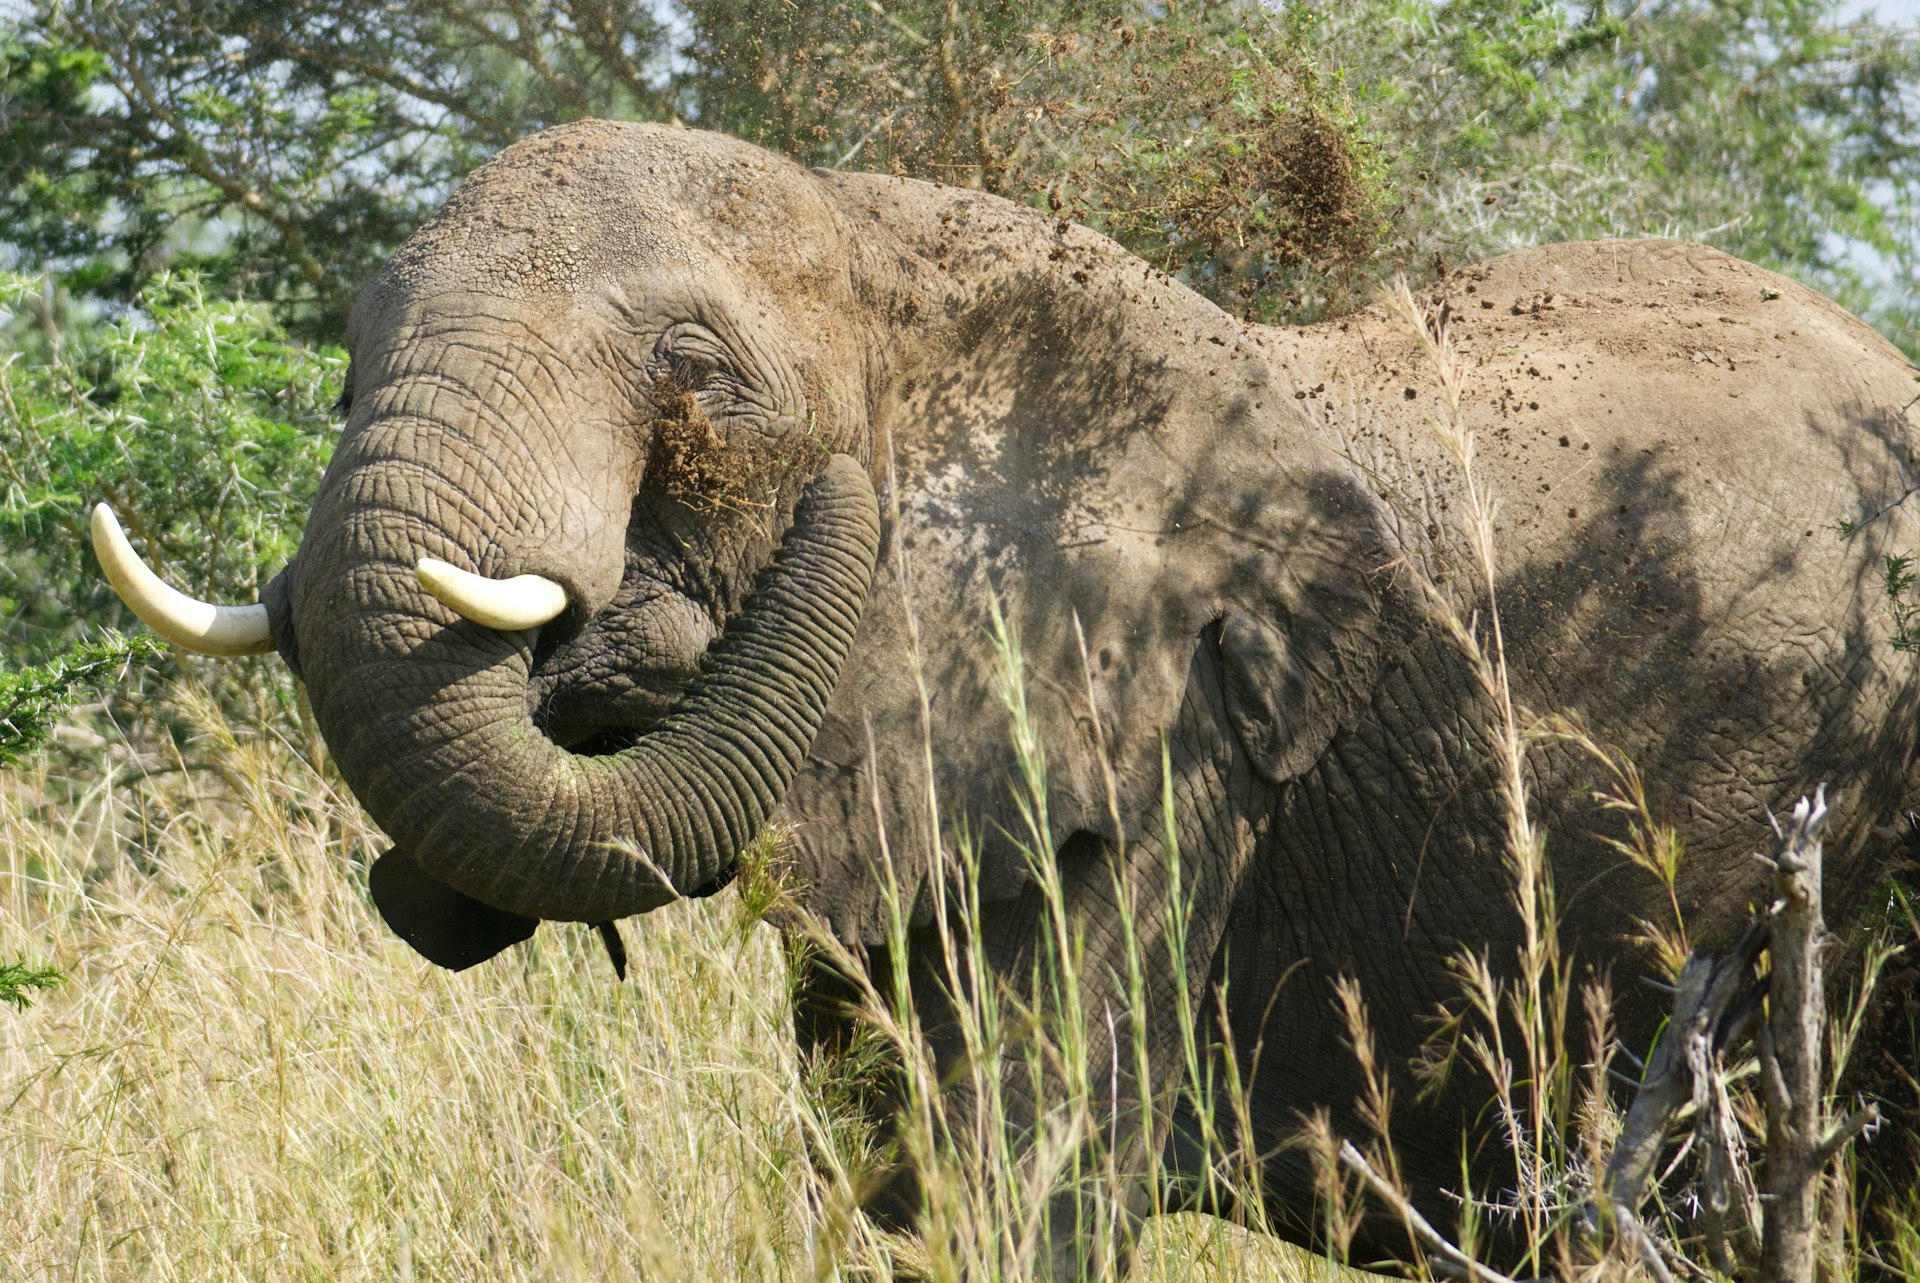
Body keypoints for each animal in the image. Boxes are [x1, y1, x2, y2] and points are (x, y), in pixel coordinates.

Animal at [94, 119, 1920, 1272]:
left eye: (698, 378)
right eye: (344, 368)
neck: (890, 242)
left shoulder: (1184, 742)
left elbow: (1016, 1178)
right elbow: (884, 1161)